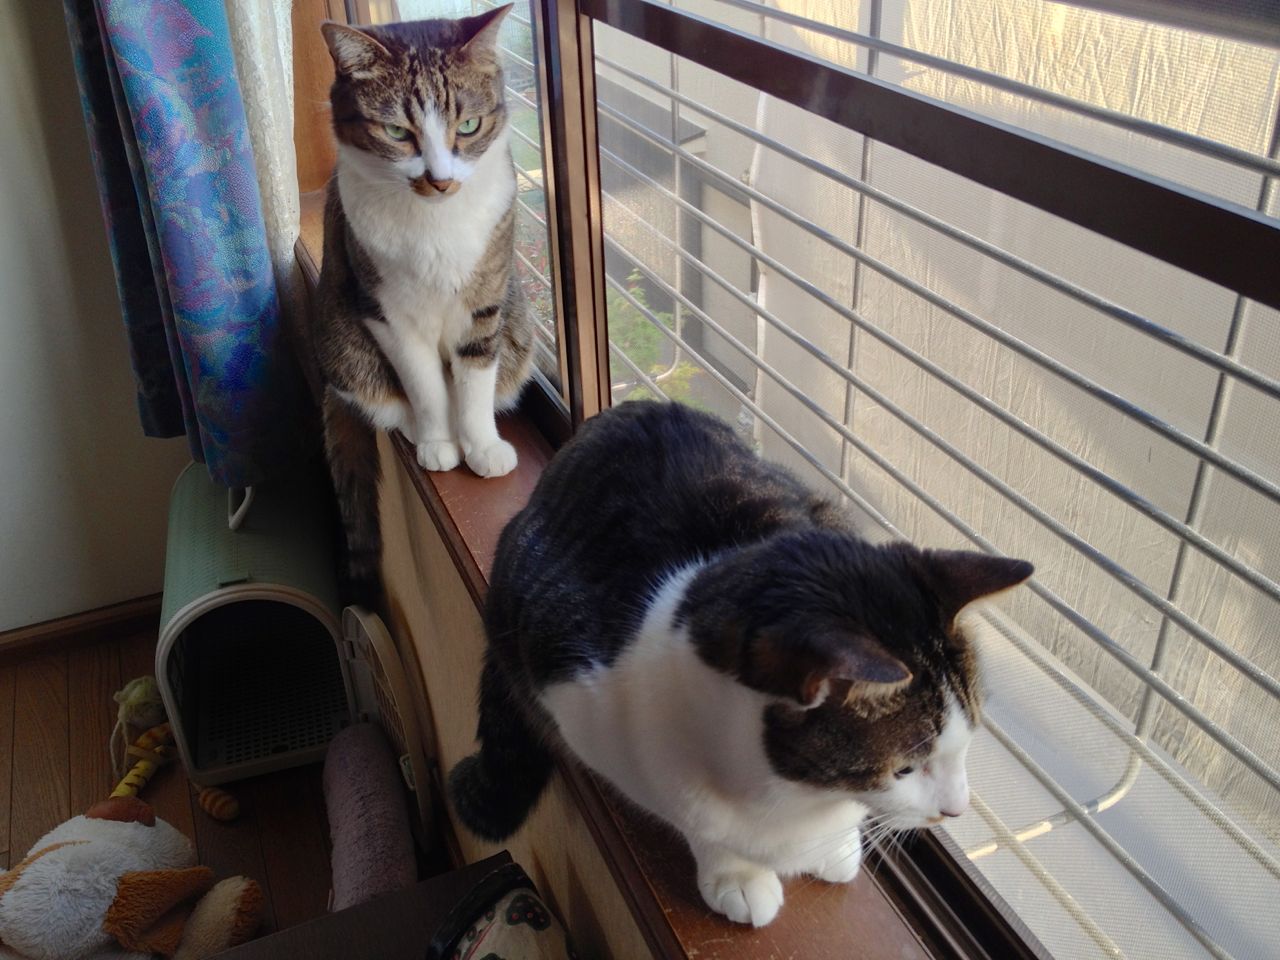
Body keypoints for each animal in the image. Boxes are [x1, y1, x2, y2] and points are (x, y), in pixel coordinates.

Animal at [316, 6, 534, 595]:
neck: (435, 223)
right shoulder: (386, 313)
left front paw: (480, 446)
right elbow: (425, 383)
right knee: (384, 396)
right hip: (344, 343)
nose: (439, 180)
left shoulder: (486, 301)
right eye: (397, 132)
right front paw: (440, 441)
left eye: (468, 125)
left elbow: (475, 379)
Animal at [449, 401, 1033, 927]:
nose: (955, 810)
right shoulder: (573, 691)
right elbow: (698, 822)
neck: (797, 797)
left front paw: (834, 847)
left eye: (969, 742)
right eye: (904, 768)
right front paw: (738, 874)